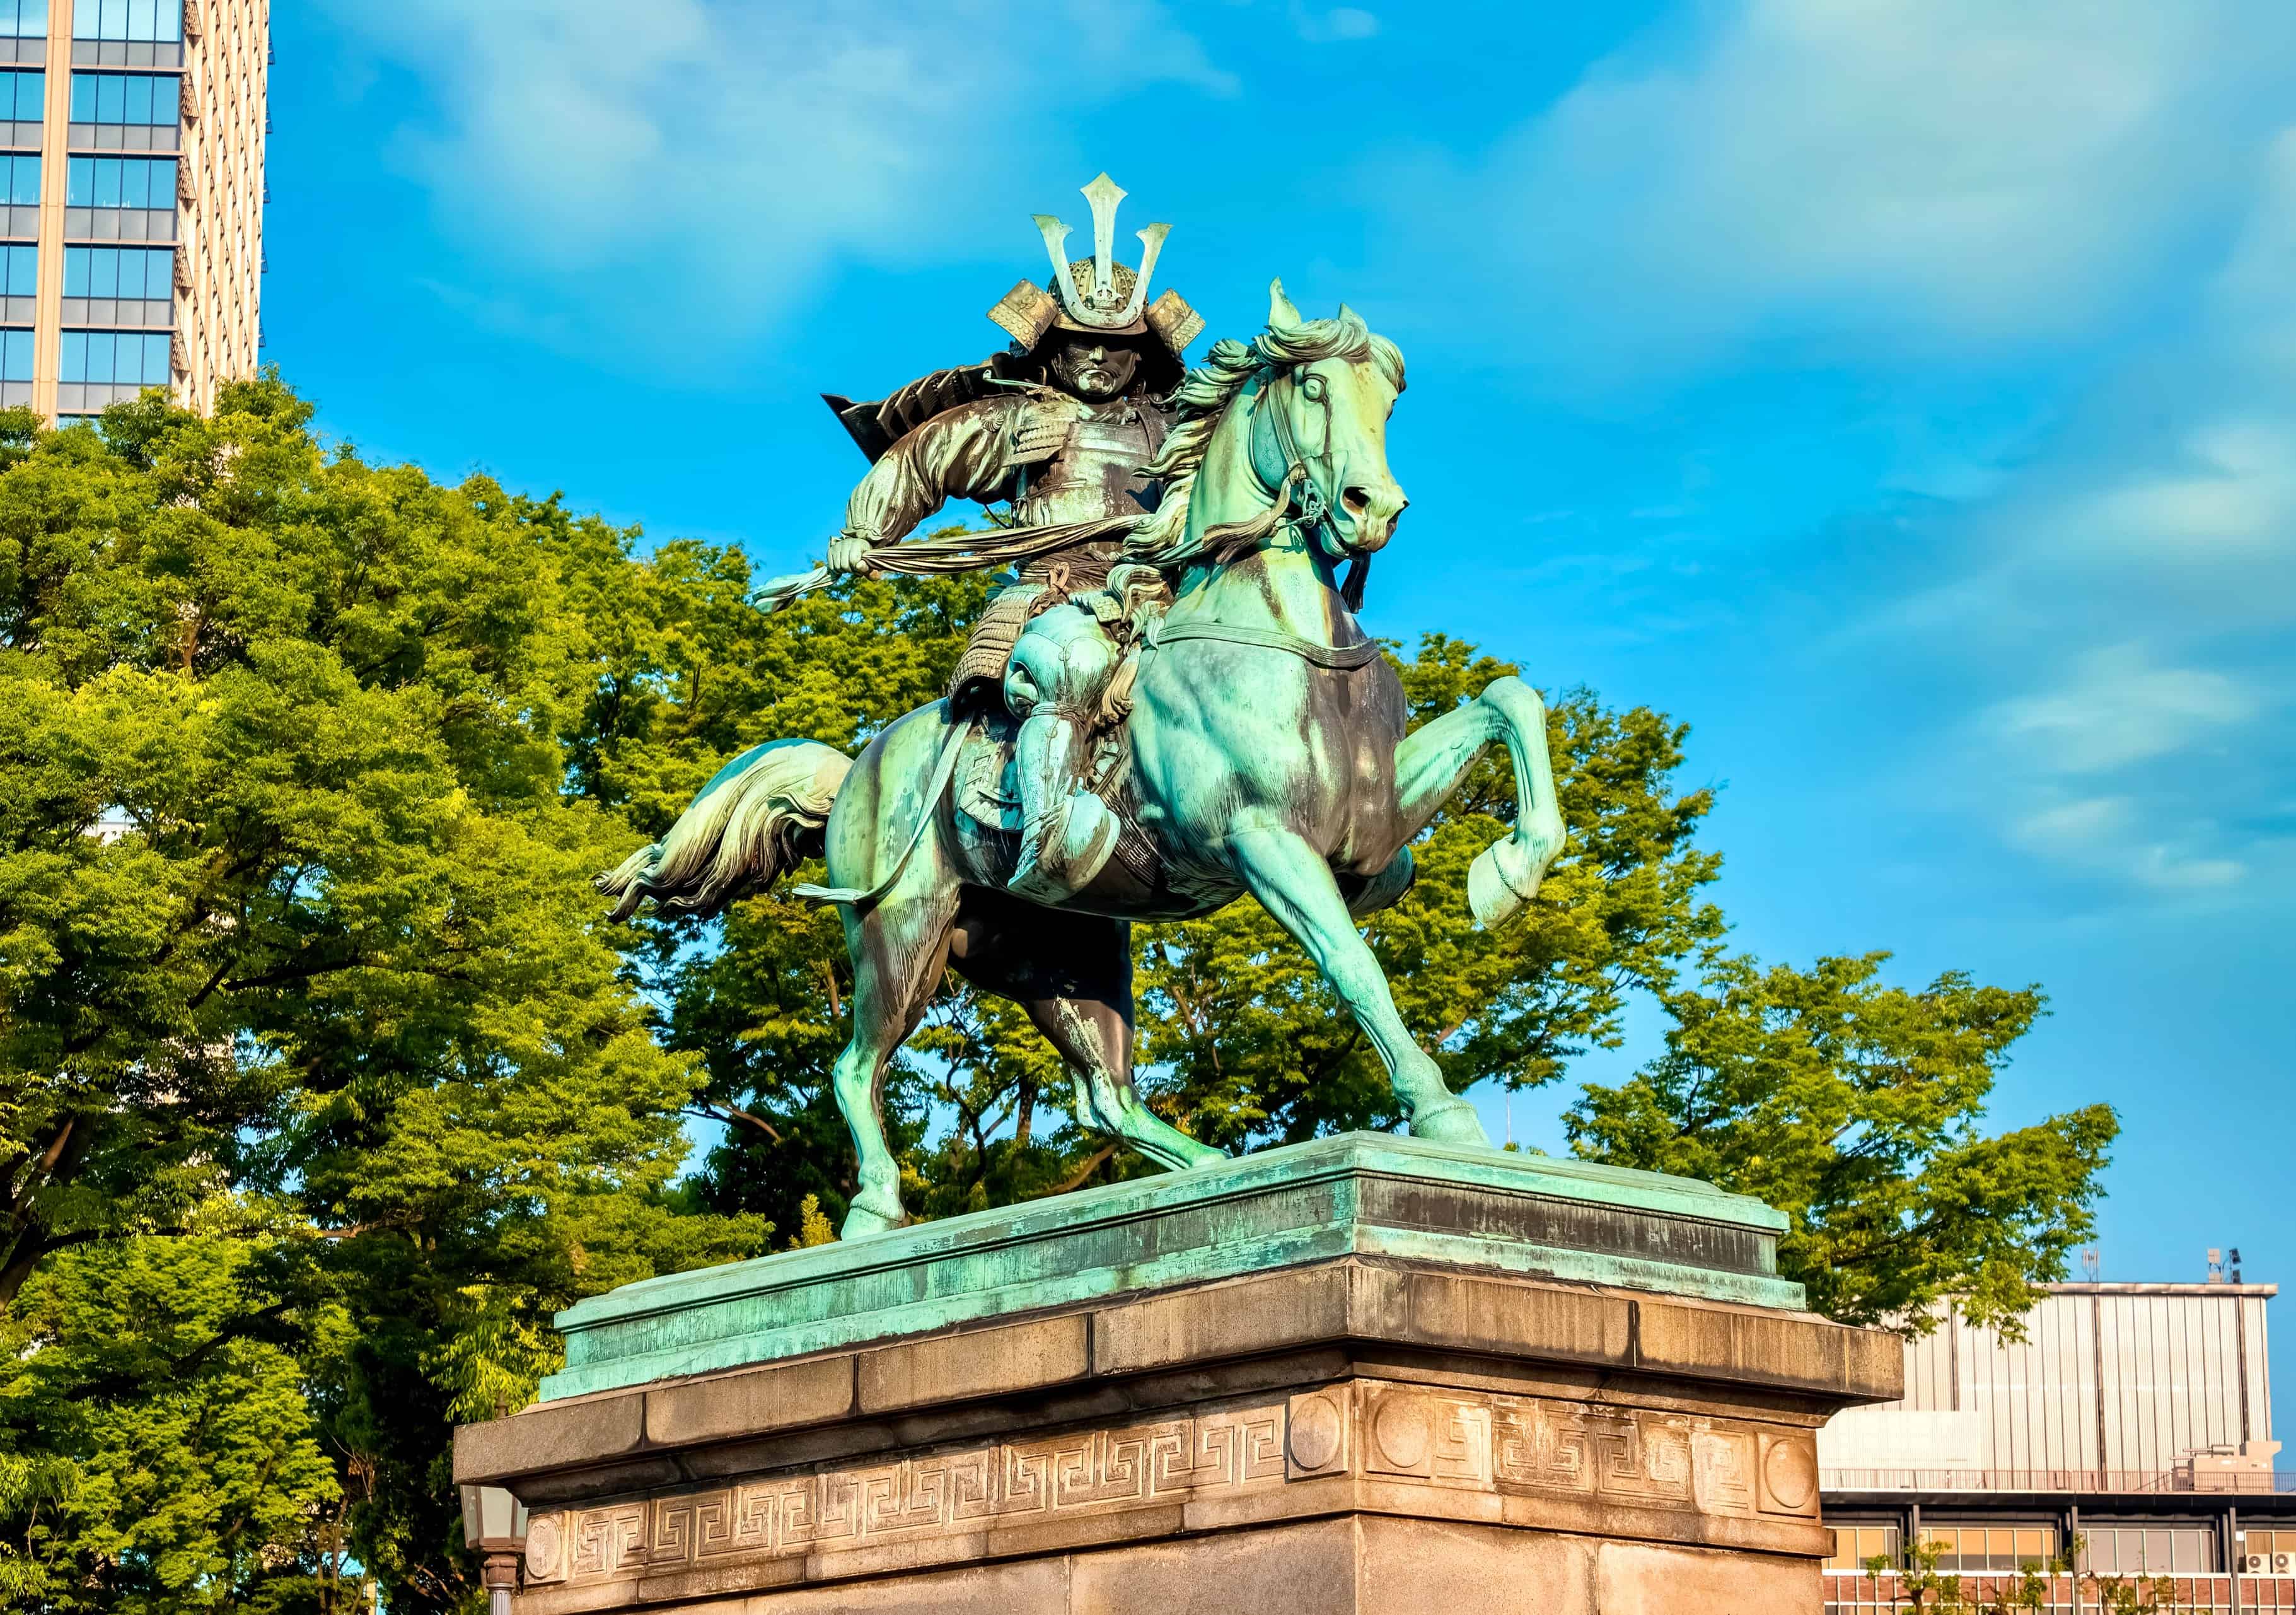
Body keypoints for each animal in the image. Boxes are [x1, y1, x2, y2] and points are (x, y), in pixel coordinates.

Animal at [596, 284, 1561, 1240]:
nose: (1372, 508)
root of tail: (853, 777)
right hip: (901, 933)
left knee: (1104, 1094)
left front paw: (1508, 873)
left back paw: (1206, 1171)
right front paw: (1442, 1112)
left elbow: (1509, 701)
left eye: (1388, 398)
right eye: (1312, 388)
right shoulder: (1264, 841)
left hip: (1065, 956)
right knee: (855, 1065)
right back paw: (875, 1207)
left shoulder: (1370, 830)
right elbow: (1354, 967)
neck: (1281, 637)